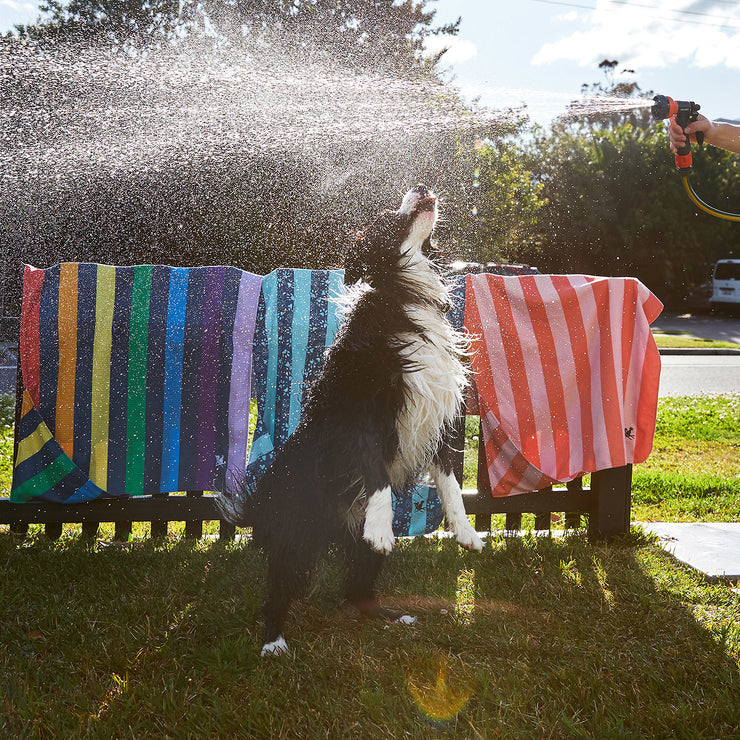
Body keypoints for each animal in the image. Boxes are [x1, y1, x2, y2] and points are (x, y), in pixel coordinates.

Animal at [218, 184, 486, 652]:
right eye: (385, 216)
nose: (419, 186)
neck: (406, 295)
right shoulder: (361, 416)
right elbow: (376, 473)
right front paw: (380, 524)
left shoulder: (442, 416)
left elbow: (452, 483)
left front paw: (466, 531)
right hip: (297, 530)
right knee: (278, 587)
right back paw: (273, 641)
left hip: (354, 554)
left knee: (357, 589)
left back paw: (391, 616)